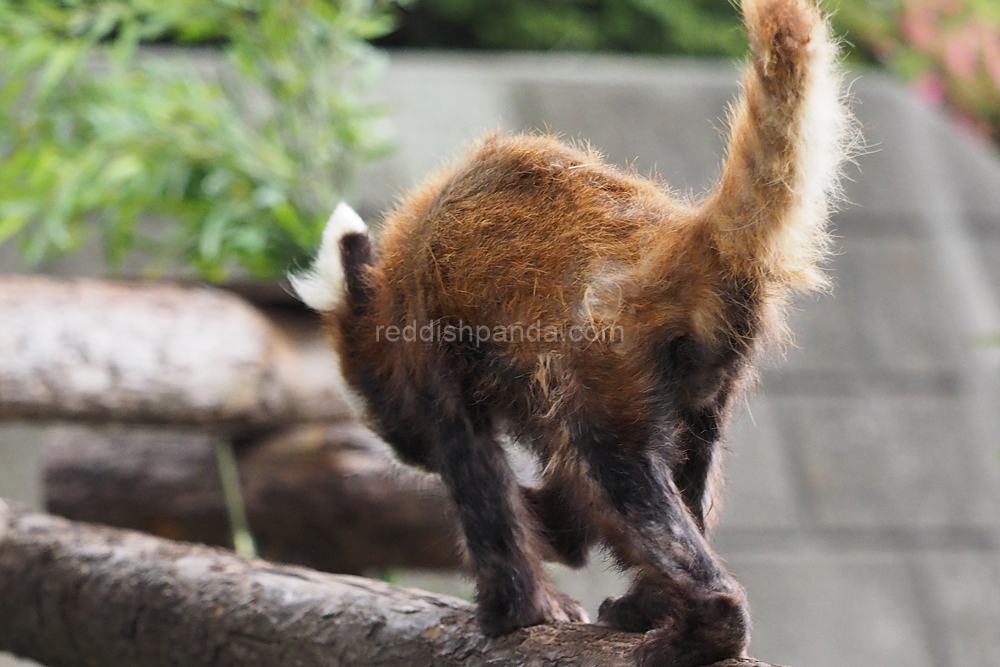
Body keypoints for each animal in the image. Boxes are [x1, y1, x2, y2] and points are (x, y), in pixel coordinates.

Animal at [290, 0, 852, 664]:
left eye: (376, 407)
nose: (406, 452)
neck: (396, 267)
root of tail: (674, 236)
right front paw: (555, 532)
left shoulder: (430, 346)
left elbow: (479, 479)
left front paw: (514, 612)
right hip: (707, 372)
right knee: (687, 467)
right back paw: (649, 605)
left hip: (605, 353)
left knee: (616, 468)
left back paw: (701, 622)